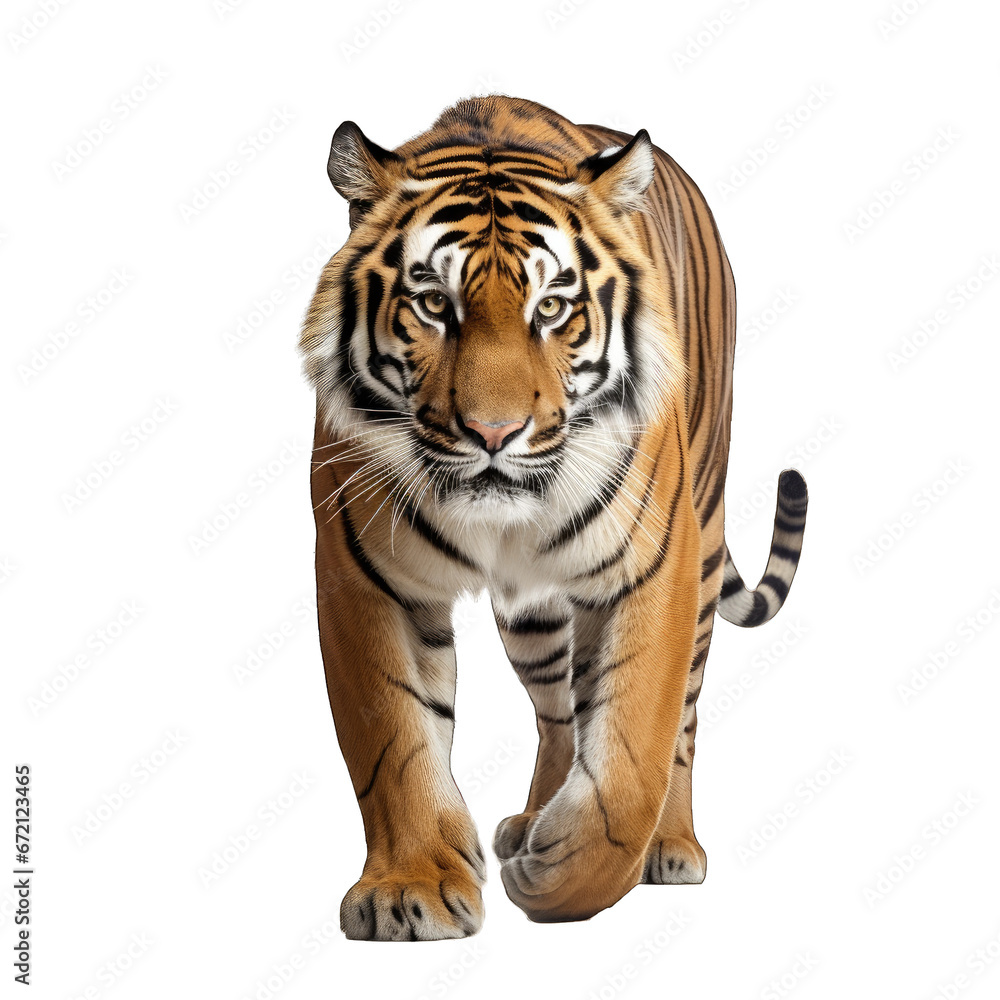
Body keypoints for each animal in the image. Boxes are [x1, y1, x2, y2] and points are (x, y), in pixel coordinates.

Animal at [299, 94, 808, 940]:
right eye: (433, 304)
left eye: (553, 309)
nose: (493, 433)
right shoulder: (364, 576)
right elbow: (393, 739)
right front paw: (410, 890)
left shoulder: (653, 569)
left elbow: (633, 747)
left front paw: (570, 881)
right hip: (531, 617)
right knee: (557, 712)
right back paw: (534, 820)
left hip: (701, 545)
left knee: (680, 719)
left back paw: (667, 844)